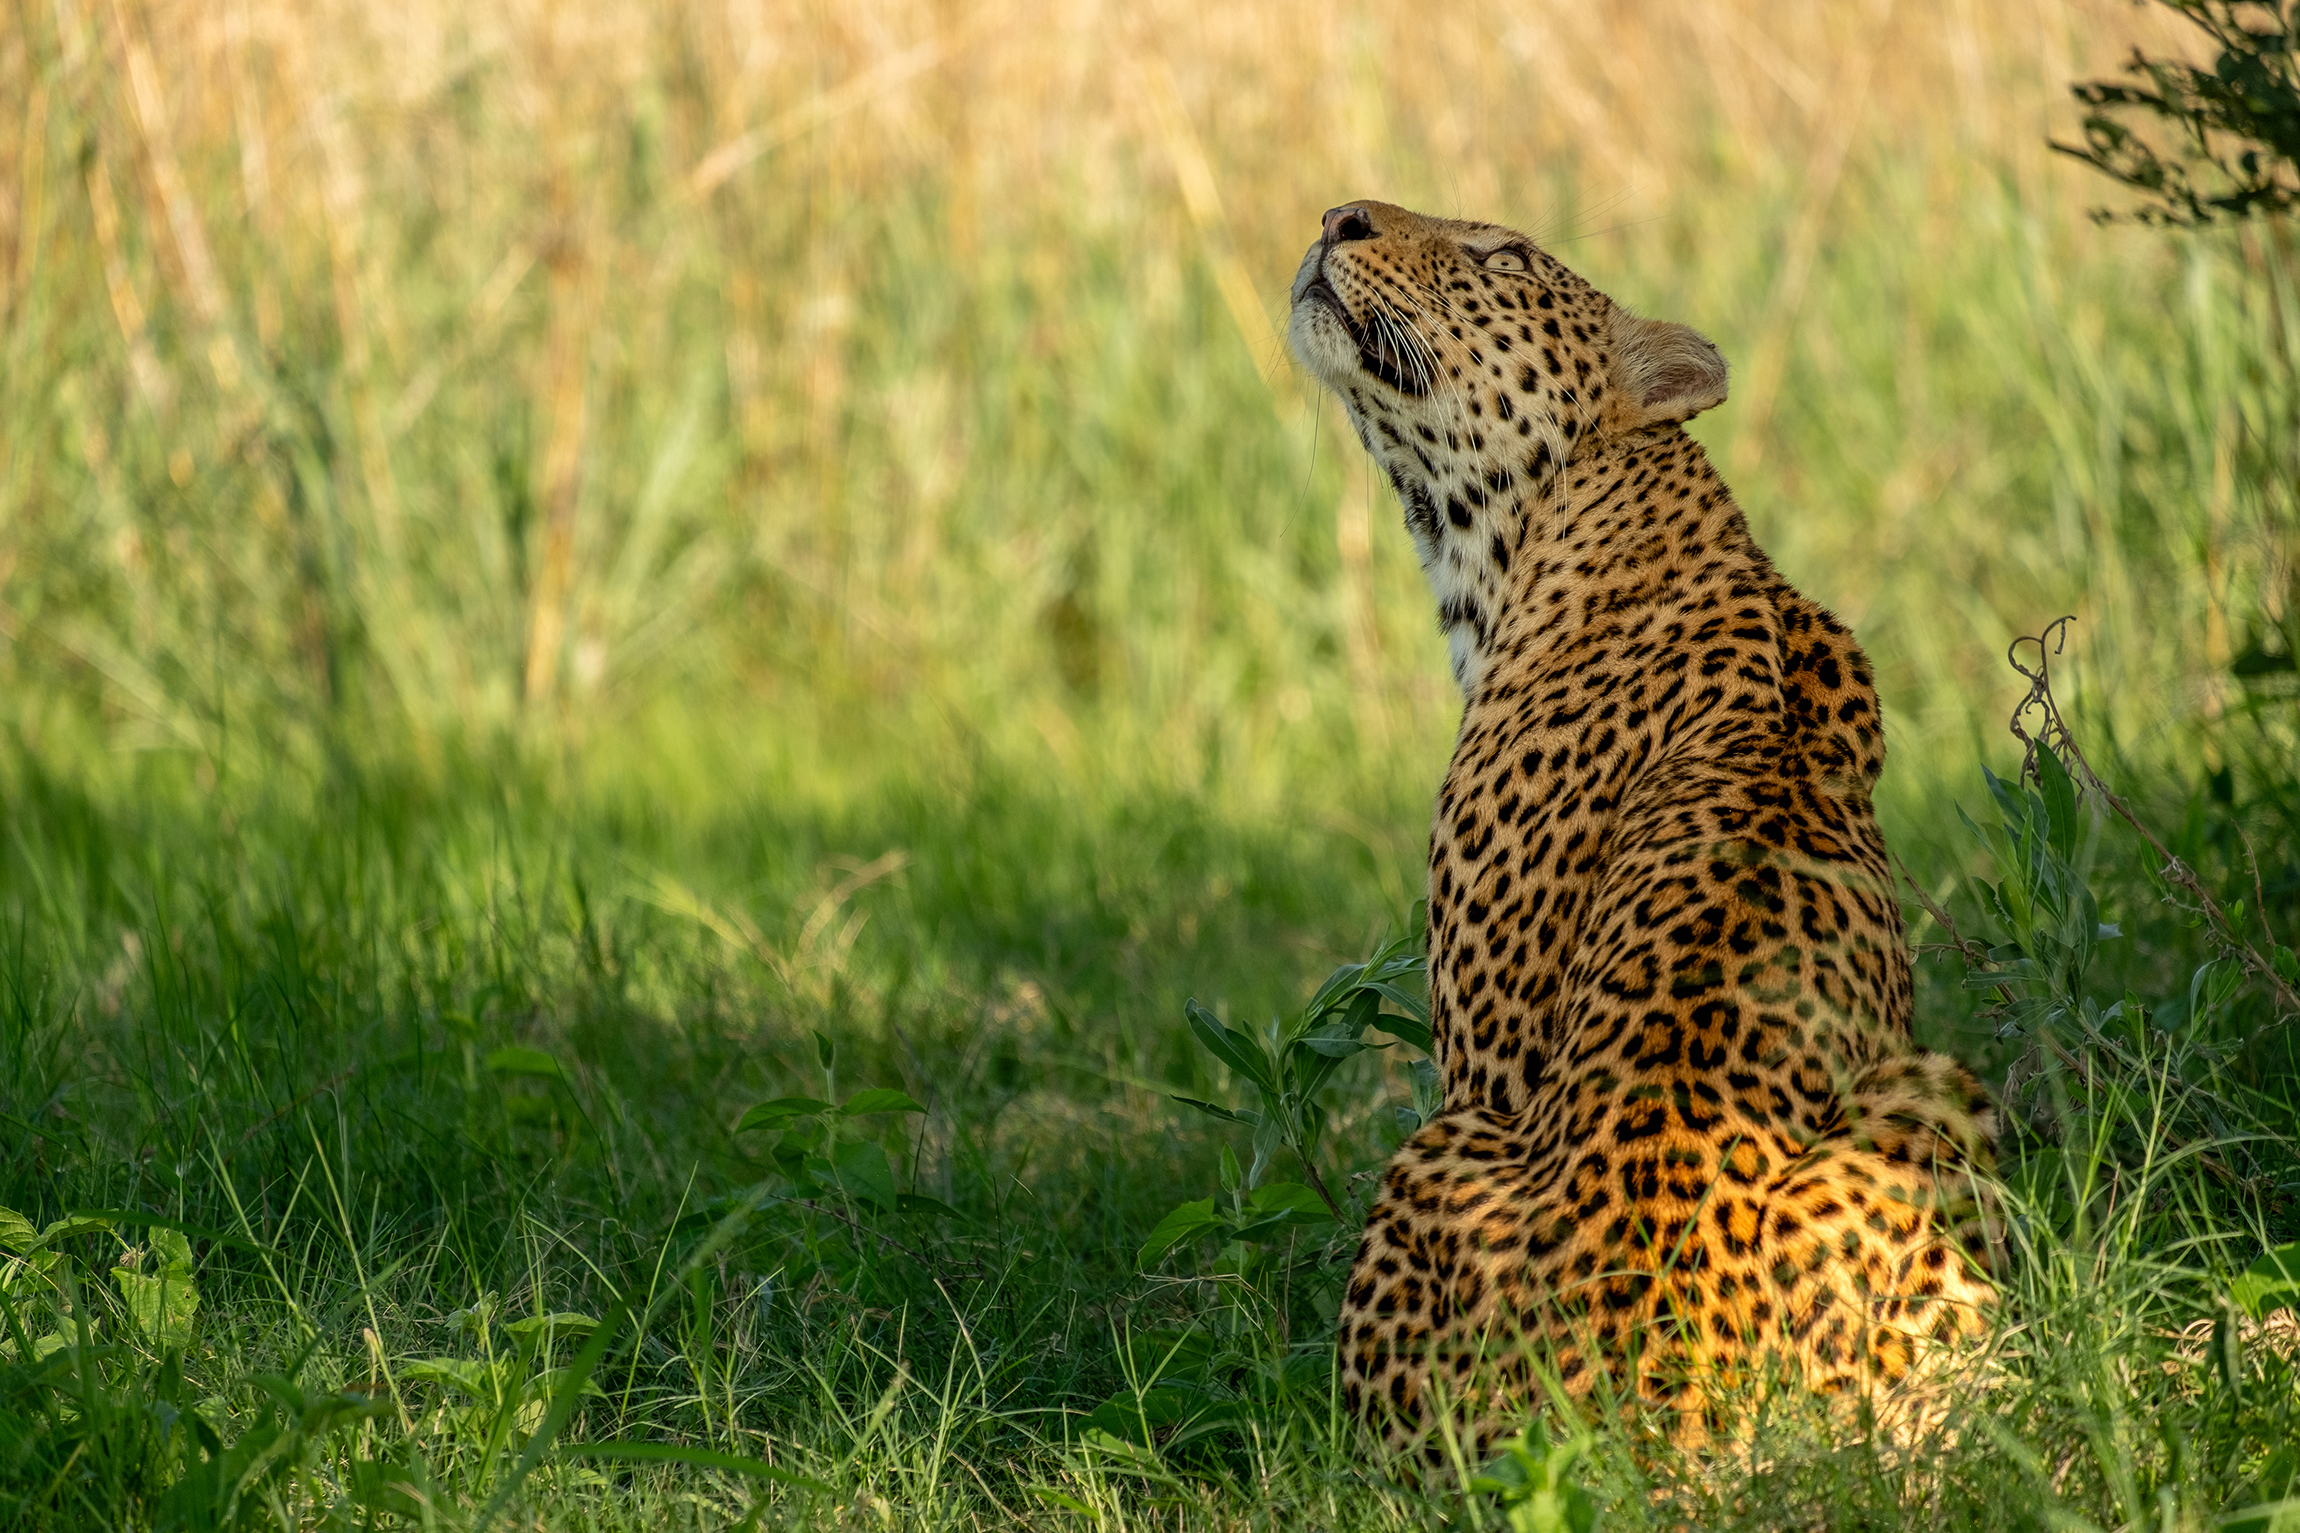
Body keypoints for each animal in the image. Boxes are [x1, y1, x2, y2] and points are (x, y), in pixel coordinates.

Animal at [1285, 201, 1998, 1457]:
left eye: (1495, 255)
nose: (1337, 215)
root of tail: (1661, 1389)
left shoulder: (1484, 1062)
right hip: (1931, 1092)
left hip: (1431, 1159)